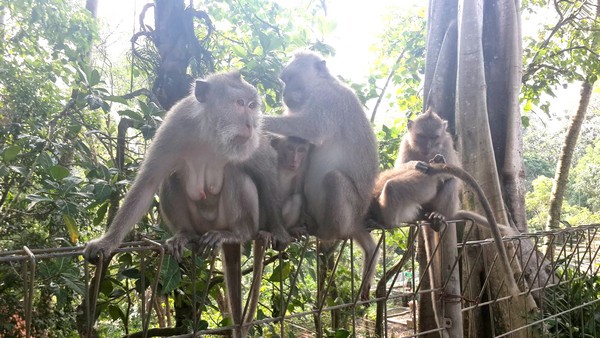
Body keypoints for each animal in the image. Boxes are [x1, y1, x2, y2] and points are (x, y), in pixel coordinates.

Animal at [262, 51, 380, 300]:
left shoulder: (328, 100)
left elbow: (309, 128)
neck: (320, 84)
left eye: (291, 78)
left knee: (334, 179)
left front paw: (255, 118)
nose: (284, 93)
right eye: (284, 80)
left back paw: (326, 232)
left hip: (350, 212)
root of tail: (357, 219)